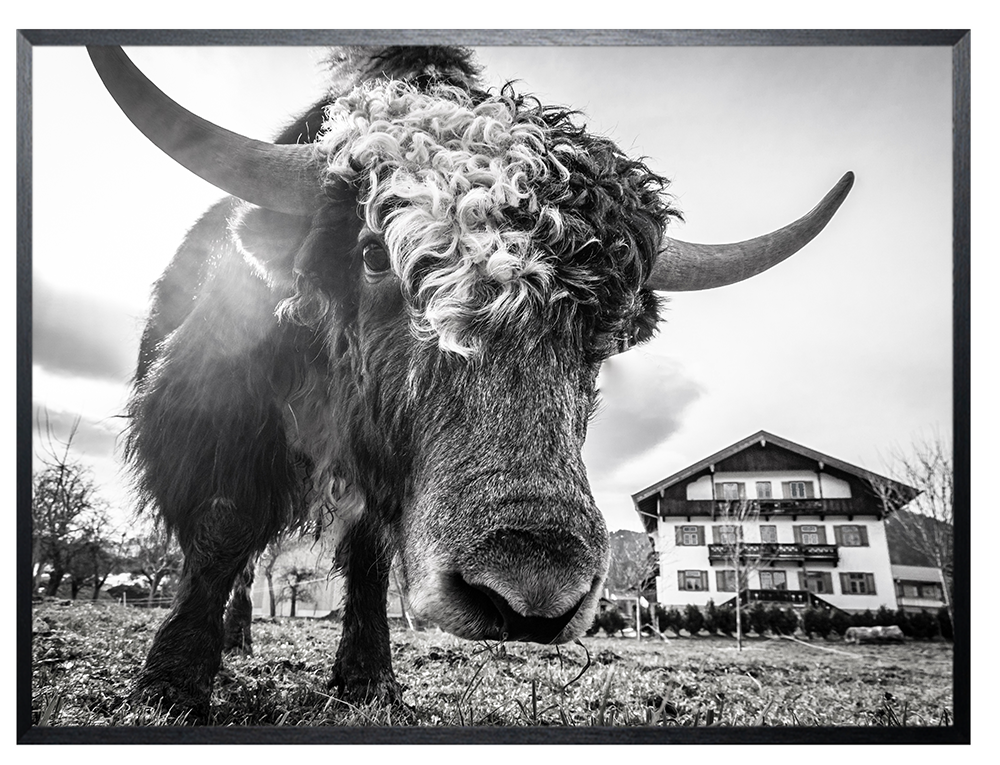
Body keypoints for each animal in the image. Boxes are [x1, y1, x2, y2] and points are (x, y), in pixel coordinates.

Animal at [89, 45, 853, 718]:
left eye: (606, 323)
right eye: (373, 255)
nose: (533, 592)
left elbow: (369, 553)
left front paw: (367, 681)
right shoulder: (220, 414)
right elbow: (225, 526)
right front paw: (172, 682)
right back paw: (237, 638)